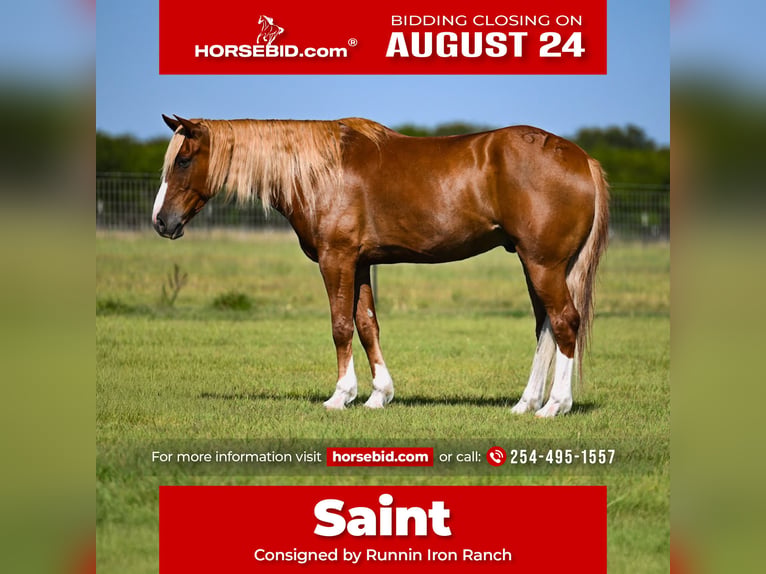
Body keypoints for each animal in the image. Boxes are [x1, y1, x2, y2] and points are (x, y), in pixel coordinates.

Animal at [152, 115, 609, 417]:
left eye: (183, 160)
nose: (161, 222)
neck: (323, 171)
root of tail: (582, 159)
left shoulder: (336, 258)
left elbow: (340, 325)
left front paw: (340, 396)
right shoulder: (360, 263)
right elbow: (367, 324)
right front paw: (378, 395)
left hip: (543, 264)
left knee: (564, 322)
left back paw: (554, 405)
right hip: (539, 266)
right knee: (546, 328)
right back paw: (526, 403)